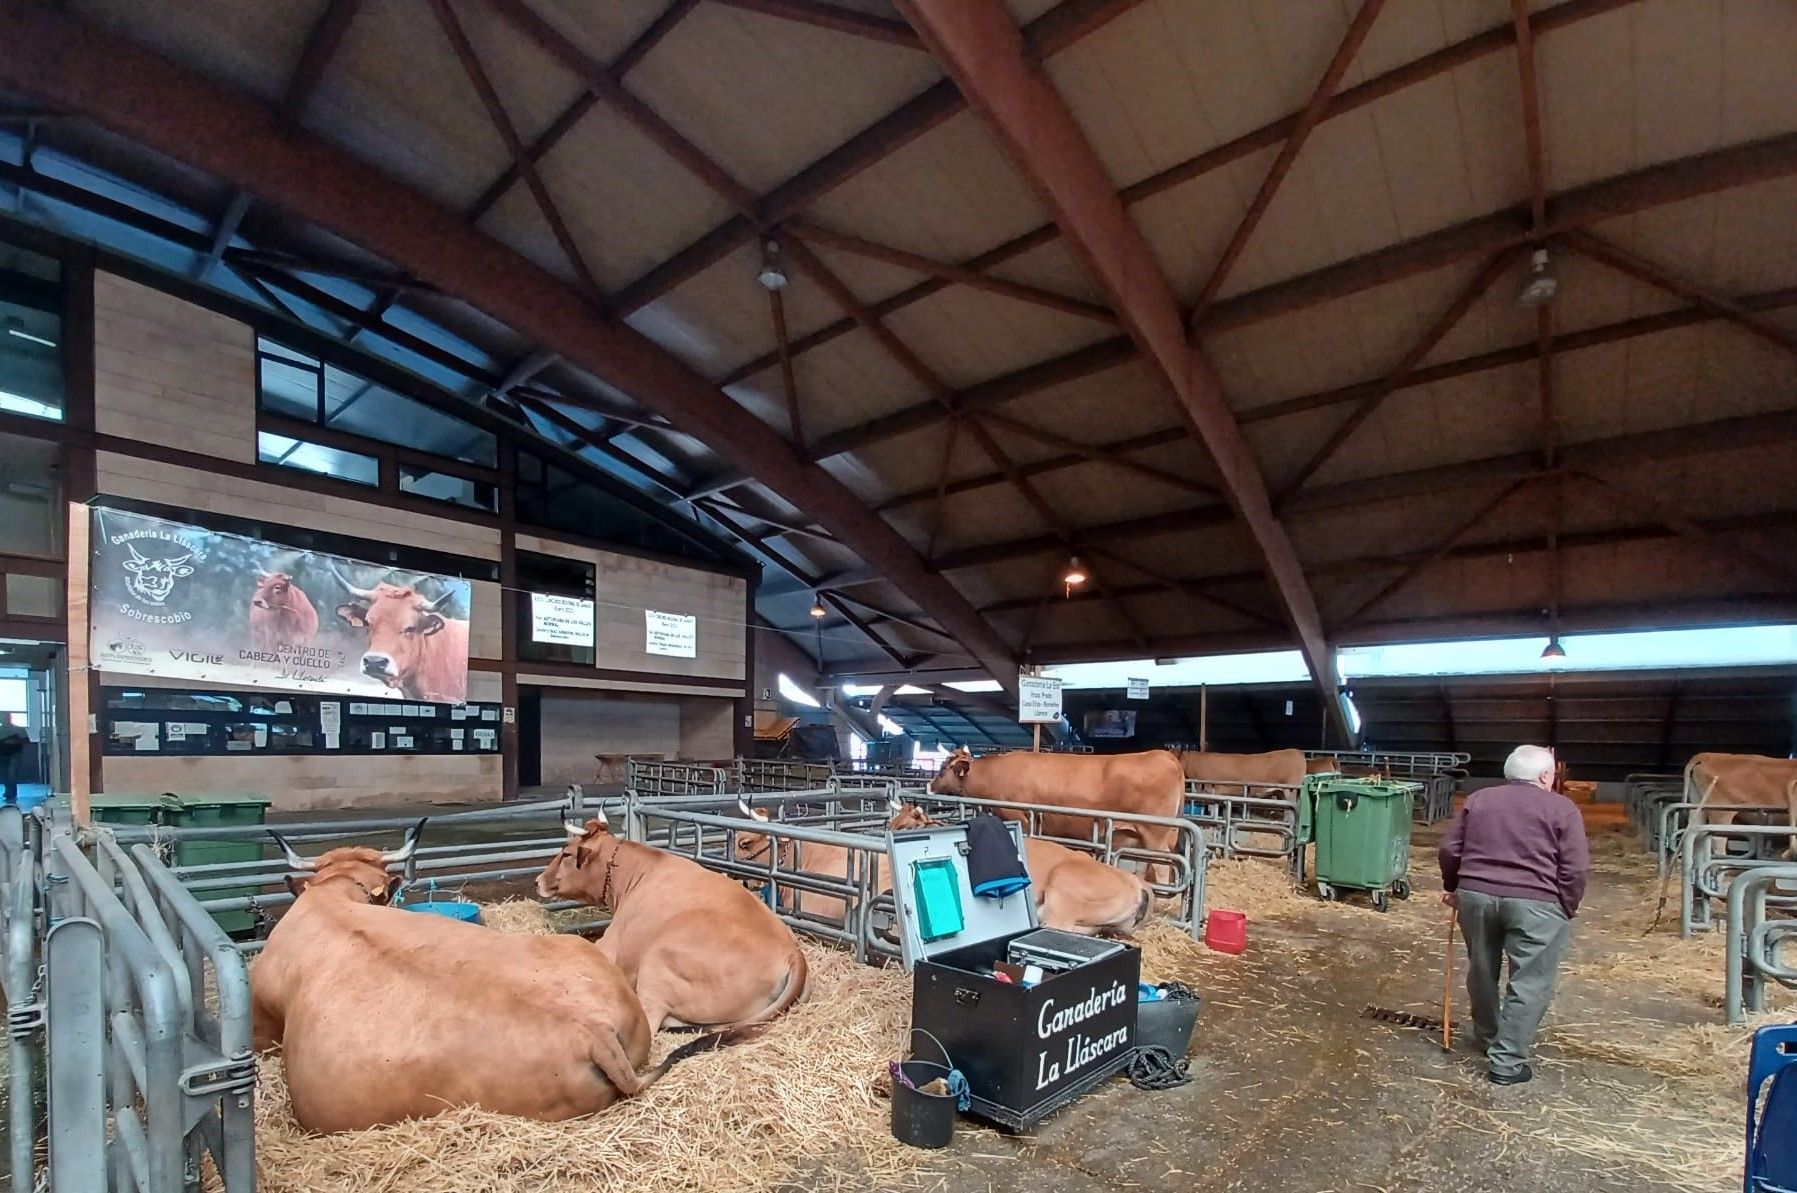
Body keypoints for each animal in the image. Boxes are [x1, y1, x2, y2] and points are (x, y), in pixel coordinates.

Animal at [535, 812, 812, 1034]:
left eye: (566, 853)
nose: (538, 881)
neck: (634, 874)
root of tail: (792, 954)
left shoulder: (610, 944)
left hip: (657, 963)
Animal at [934, 751, 1186, 880]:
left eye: (943, 769)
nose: (930, 784)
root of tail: (1163, 754)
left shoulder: (1021, 817)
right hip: (1139, 835)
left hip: (1155, 834)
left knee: (1163, 867)